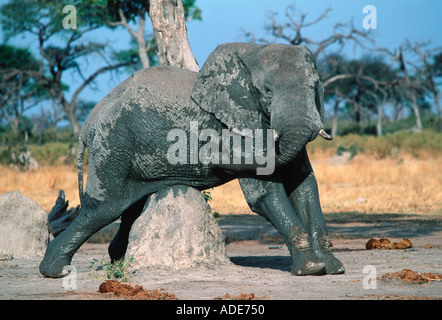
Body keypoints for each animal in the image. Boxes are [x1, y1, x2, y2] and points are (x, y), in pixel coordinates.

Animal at [39, 42, 344, 278]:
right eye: (267, 91)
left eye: (316, 86)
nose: (211, 149)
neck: (254, 51)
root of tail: (89, 120)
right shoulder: (239, 123)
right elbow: (264, 192)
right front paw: (311, 268)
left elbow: (304, 185)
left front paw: (332, 267)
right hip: (111, 143)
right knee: (102, 208)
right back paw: (56, 271)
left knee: (129, 207)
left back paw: (118, 262)